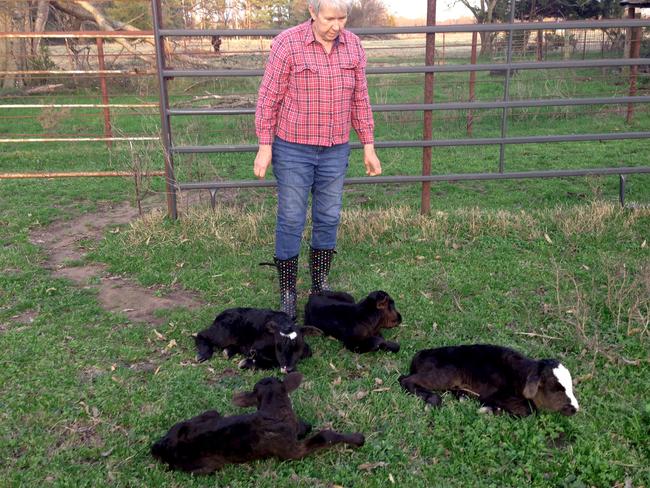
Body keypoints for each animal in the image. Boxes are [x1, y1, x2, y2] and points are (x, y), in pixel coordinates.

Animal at [151, 374, 364, 472]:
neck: (273, 411)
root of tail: (160, 446)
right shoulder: (291, 452)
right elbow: (324, 435)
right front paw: (358, 438)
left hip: (209, 413)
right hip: (207, 466)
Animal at [398, 344, 580, 416]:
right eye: (557, 388)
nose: (575, 409)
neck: (520, 376)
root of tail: (421, 354)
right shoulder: (493, 394)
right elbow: (529, 411)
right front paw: (489, 410)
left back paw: (462, 396)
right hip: (445, 374)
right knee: (405, 379)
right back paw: (431, 401)